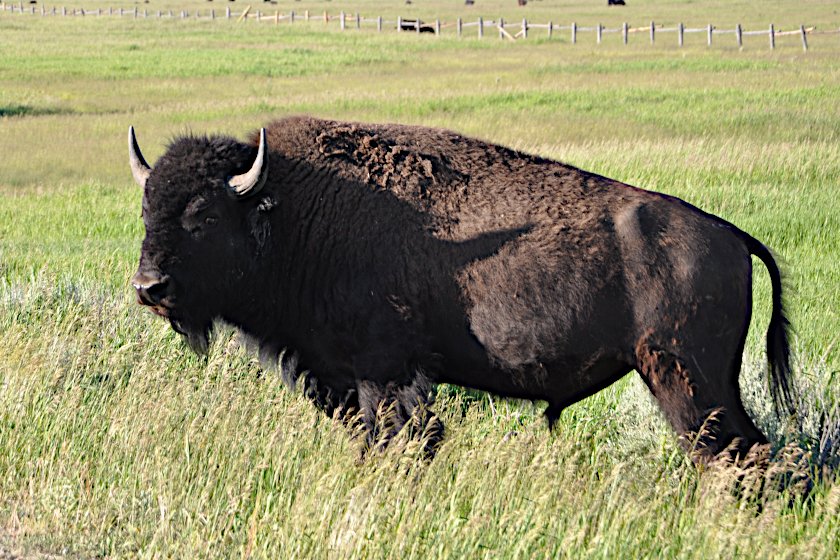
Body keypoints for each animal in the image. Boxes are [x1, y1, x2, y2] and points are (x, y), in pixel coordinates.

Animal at [126, 116, 796, 462]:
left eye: (206, 215)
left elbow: (399, 438)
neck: (290, 213)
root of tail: (732, 236)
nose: (149, 286)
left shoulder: (384, 376)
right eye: (147, 209)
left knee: (738, 455)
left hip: (686, 381)